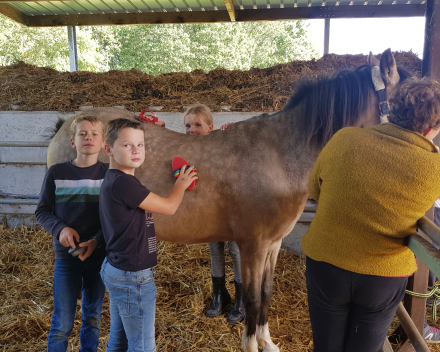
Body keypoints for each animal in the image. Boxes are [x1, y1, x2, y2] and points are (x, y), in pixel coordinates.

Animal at [46, 49, 410, 352]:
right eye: (407, 104)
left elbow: (265, 295)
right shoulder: (253, 245)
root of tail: (67, 125)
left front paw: (267, 343)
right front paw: (251, 345)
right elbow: (251, 299)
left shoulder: (272, 244)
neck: (279, 156)